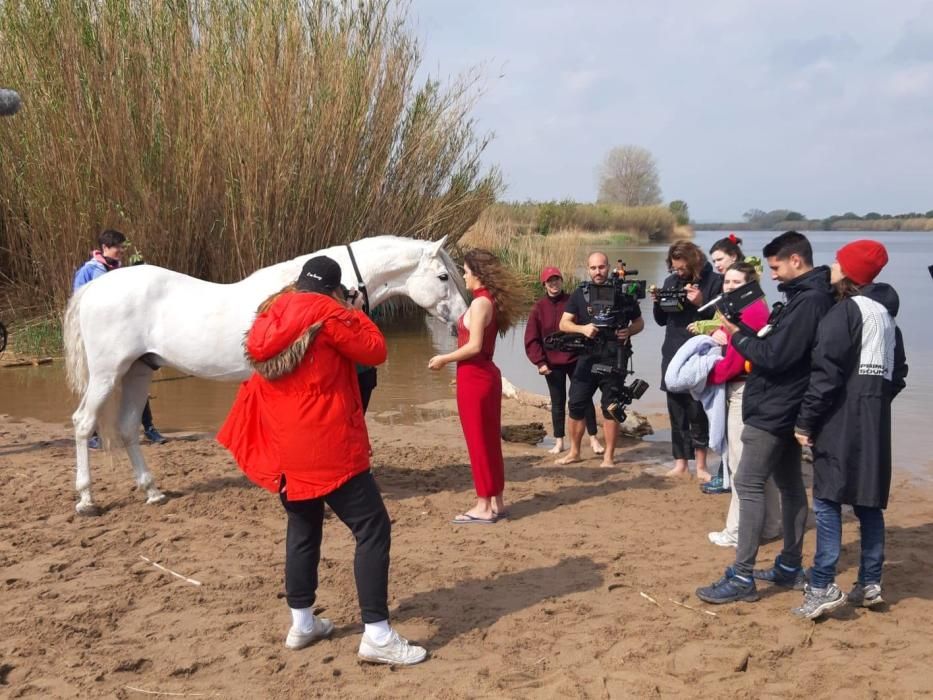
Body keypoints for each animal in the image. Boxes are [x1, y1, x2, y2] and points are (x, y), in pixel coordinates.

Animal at [66, 235, 470, 516]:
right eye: (443, 276)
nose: (463, 317)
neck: (305, 291)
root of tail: (94, 288)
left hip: (139, 371)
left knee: (127, 426)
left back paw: (152, 491)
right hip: (107, 374)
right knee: (83, 423)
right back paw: (86, 500)